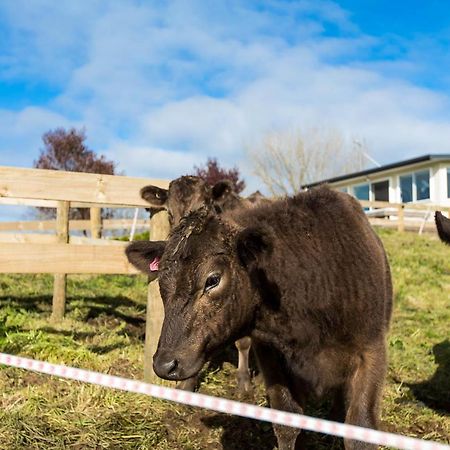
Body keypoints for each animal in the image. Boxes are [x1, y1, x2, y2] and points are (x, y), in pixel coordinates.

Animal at [125, 185, 390, 448]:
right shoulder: (271, 355)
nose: (165, 364)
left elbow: (360, 430)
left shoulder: (371, 351)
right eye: (161, 279)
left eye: (213, 280)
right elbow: (286, 423)